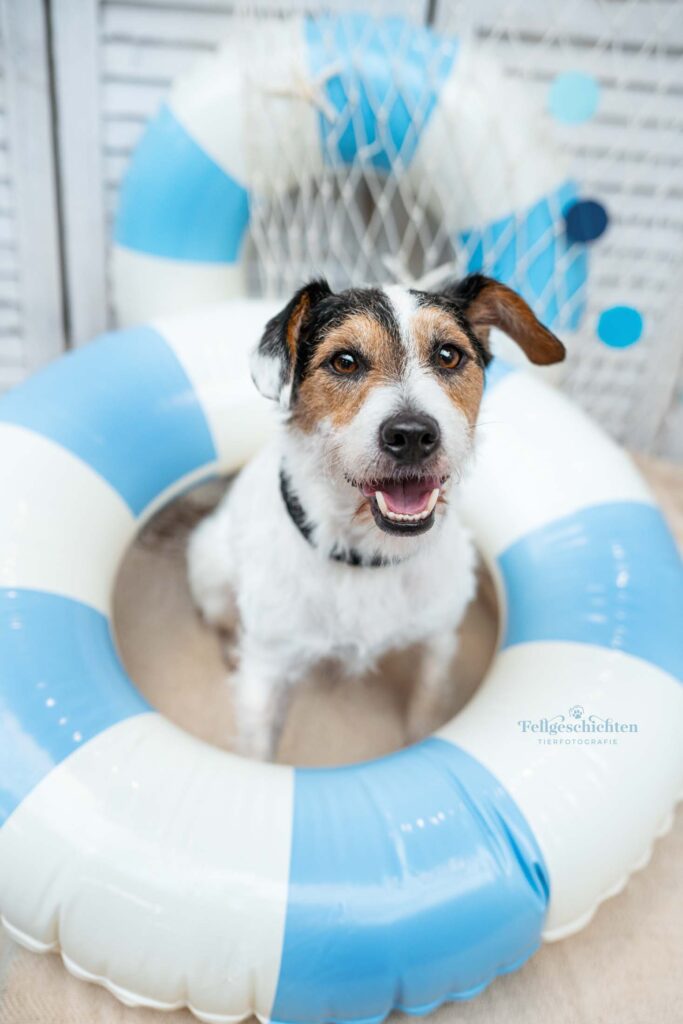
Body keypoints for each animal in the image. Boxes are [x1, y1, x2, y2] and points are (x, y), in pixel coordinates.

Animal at [188, 274, 565, 761]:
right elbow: (258, 744)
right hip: (210, 568)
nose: (412, 435)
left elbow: (429, 696)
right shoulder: (267, 670)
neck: (368, 555)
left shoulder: (440, 636)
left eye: (449, 355)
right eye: (344, 361)